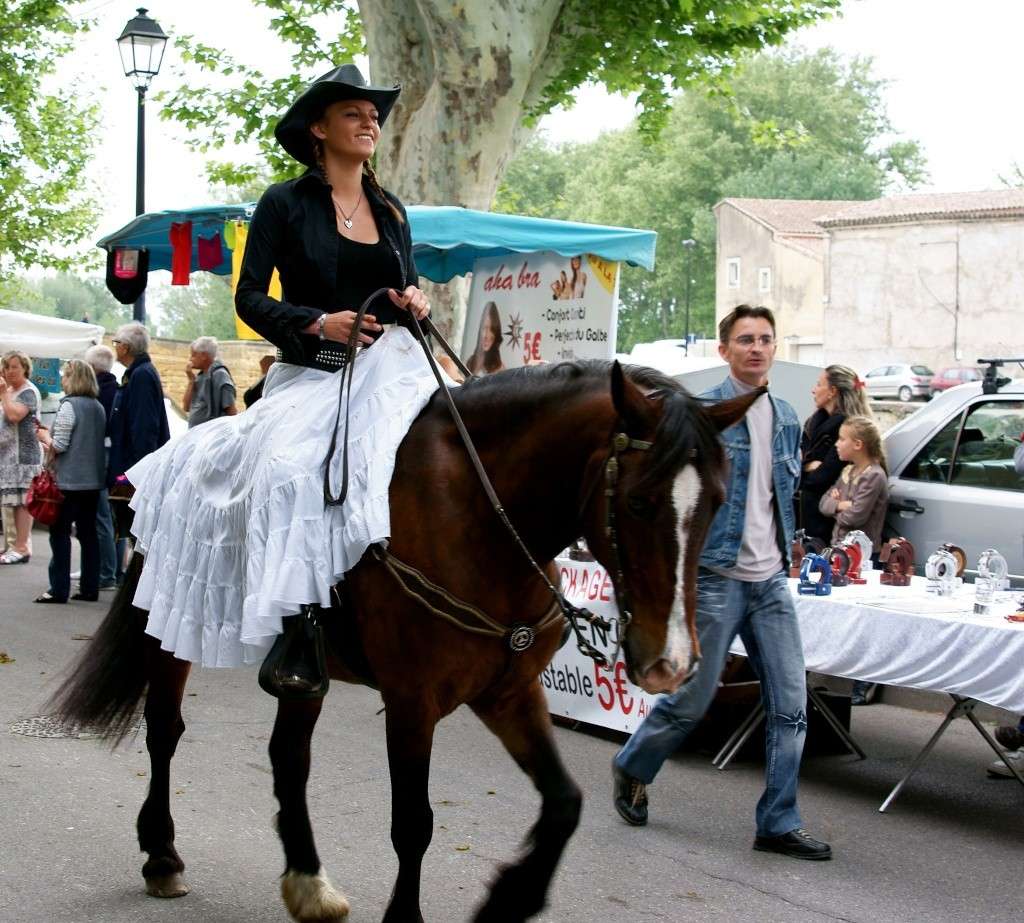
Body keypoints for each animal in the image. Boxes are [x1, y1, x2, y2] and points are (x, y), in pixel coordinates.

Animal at [49, 360, 753, 921]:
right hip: (169, 629)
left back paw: (307, 881)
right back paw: (162, 856)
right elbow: (413, 824)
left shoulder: (509, 695)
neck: (483, 516)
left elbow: (564, 803)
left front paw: (509, 898)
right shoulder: (414, 703)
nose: (671, 664)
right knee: (165, 730)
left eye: (720, 501)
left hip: (304, 673)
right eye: (636, 502)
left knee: (288, 757)